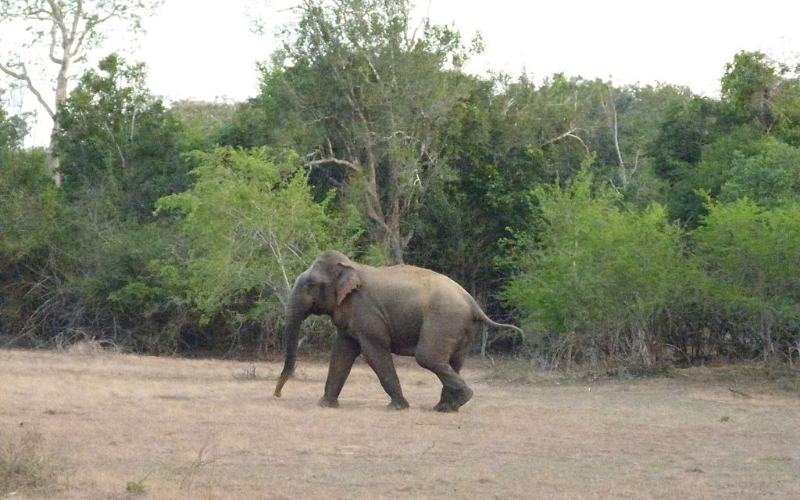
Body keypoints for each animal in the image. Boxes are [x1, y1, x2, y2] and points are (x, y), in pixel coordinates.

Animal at [276, 252, 524, 412]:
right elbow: (341, 353)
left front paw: (398, 407)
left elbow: (374, 352)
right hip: (461, 328)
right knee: (452, 361)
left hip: (444, 320)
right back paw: (445, 407)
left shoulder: (367, 314)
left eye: (310, 284)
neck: (352, 266)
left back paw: (459, 400)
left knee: (428, 357)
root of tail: (473, 304)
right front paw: (325, 405)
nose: (276, 395)